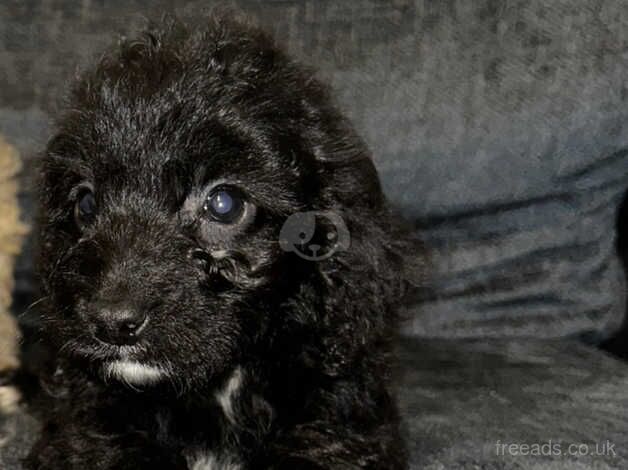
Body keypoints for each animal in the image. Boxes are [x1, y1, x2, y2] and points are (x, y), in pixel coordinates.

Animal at [29, 14, 420, 470]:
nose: (111, 322)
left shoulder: (341, 419)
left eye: (223, 204)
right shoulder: (84, 425)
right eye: (86, 204)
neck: (222, 384)